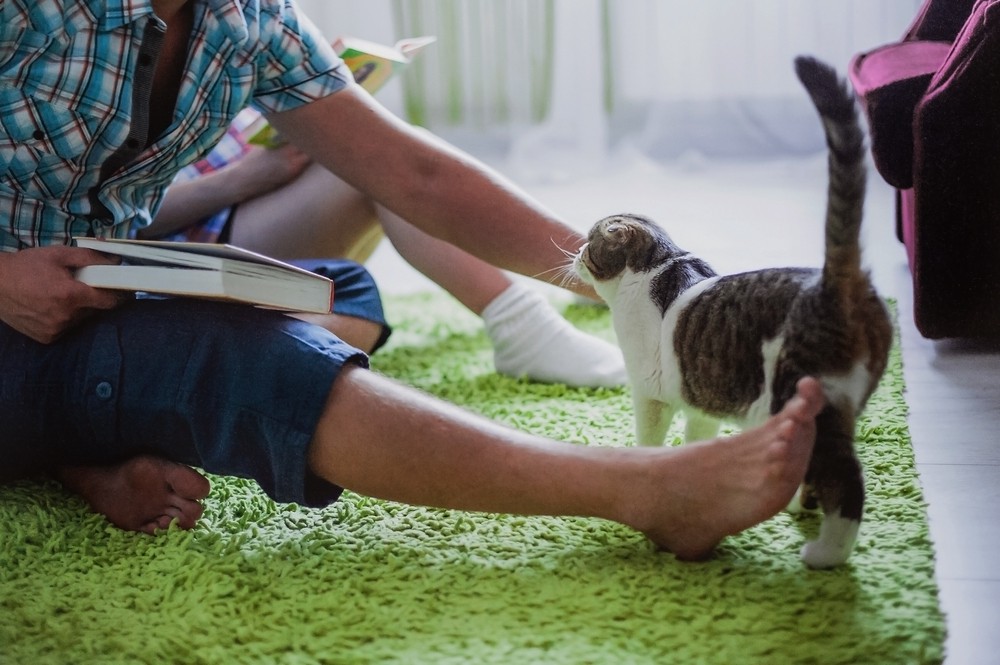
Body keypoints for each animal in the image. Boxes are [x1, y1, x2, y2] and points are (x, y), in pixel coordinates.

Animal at [576, 54, 896, 568]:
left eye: (590, 244)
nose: (574, 252)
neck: (660, 268)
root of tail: (837, 279)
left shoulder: (650, 393)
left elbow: (649, 438)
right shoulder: (699, 396)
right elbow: (697, 437)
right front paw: (694, 470)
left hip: (802, 394)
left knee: (847, 480)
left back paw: (824, 553)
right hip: (844, 402)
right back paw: (796, 503)